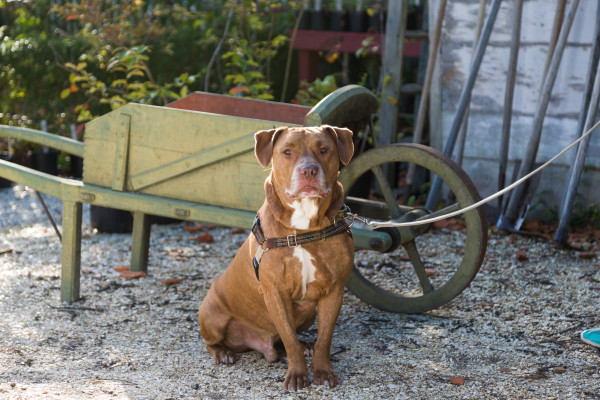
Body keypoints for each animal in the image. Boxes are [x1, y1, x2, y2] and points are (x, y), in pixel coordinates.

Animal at [197, 125, 356, 390]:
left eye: (324, 149)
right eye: (287, 151)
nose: (309, 170)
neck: (303, 227)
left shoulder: (334, 291)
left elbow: (324, 338)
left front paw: (323, 371)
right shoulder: (276, 294)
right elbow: (289, 338)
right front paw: (298, 375)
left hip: (308, 312)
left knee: (285, 340)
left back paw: (305, 345)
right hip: (211, 314)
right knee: (212, 342)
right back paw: (223, 353)